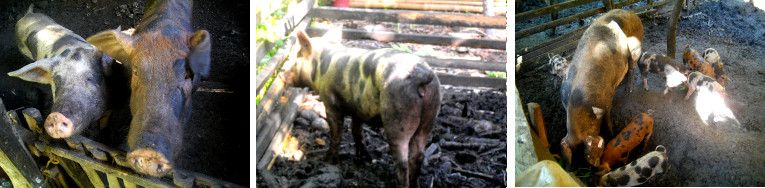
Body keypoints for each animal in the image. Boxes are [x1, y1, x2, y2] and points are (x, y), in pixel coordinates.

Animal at [280, 28, 442, 188]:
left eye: (296, 57)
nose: (281, 74)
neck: (320, 69)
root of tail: (423, 76)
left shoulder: (331, 104)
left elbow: (337, 133)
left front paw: (328, 161)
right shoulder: (358, 110)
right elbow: (357, 131)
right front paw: (364, 157)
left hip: (398, 115)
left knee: (402, 161)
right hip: (430, 115)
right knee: (418, 155)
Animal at [560, 8, 640, 168]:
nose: (594, 167)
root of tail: (630, 12)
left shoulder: (607, 98)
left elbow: (608, 115)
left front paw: (611, 132)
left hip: (636, 46)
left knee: (632, 66)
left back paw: (628, 89)